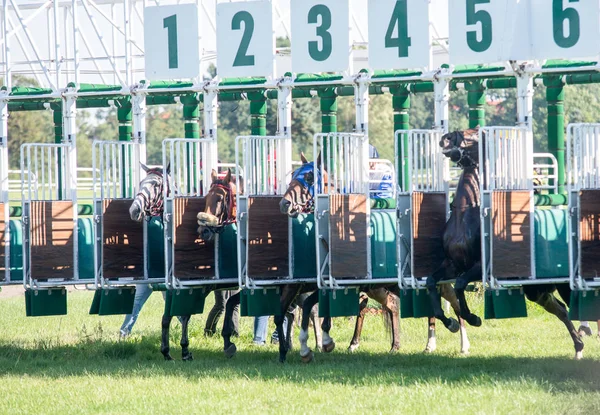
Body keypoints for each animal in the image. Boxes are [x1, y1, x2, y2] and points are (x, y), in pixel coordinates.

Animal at [428, 127, 584, 360]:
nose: (445, 139)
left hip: (562, 285)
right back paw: (579, 346)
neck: (464, 216)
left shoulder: (478, 267)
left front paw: (474, 318)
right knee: (562, 310)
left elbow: (461, 285)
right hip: (538, 291)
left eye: (475, 133)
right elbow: (432, 284)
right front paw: (451, 323)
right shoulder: (452, 265)